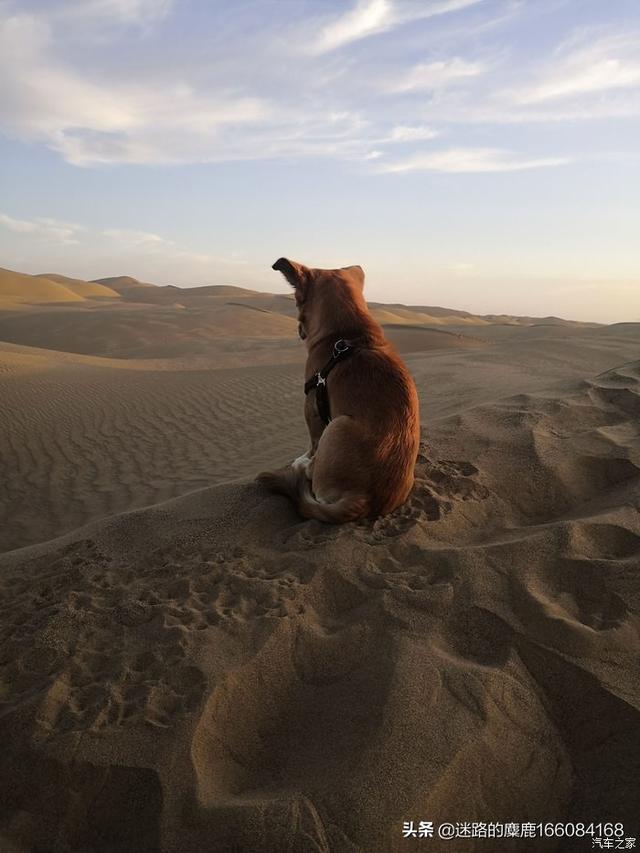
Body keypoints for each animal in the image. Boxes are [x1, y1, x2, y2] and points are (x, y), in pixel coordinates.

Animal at [255, 256, 420, 524]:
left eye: (297, 301)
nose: (299, 331)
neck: (348, 334)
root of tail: (364, 501)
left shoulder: (312, 406)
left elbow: (312, 442)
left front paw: (303, 458)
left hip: (337, 424)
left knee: (313, 472)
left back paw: (302, 466)